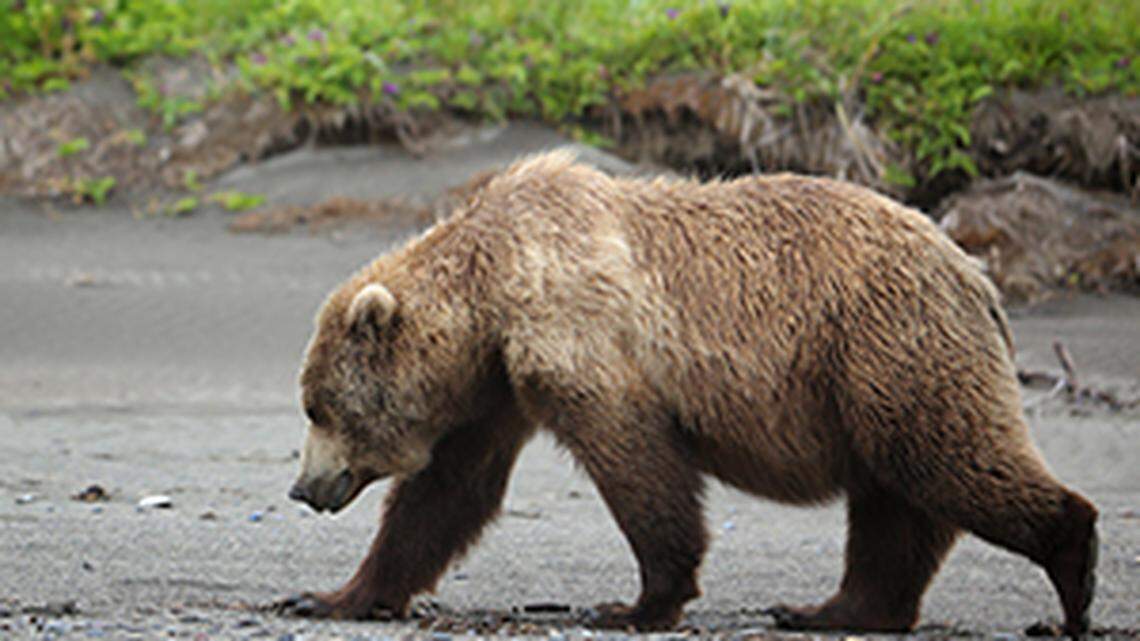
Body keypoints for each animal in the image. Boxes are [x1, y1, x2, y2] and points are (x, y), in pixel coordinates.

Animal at [278, 150, 1098, 636]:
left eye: (317, 406)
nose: (301, 487)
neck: (492, 294)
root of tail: (975, 274)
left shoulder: (576, 335)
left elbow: (638, 465)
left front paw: (633, 602)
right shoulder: (498, 386)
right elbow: (446, 492)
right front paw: (333, 594)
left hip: (889, 342)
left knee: (945, 459)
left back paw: (1073, 569)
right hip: (870, 376)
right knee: (893, 504)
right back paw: (828, 608)